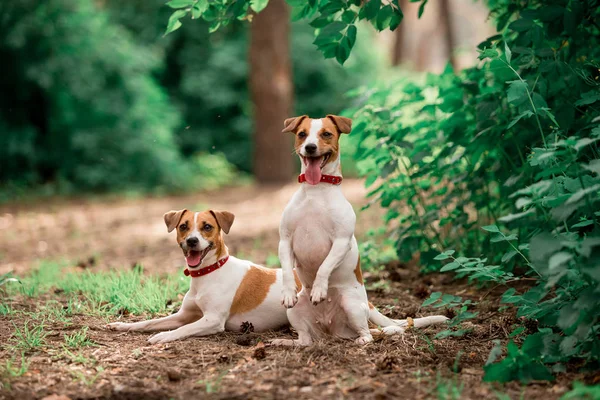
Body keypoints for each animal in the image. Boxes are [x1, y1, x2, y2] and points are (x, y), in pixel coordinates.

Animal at [108, 209, 298, 344]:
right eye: (183, 226)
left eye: (207, 227)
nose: (192, 241)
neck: (208, 272)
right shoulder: (182, 315)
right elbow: (149, 322)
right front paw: (123, 325)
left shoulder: (213, 319)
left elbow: (184, 329)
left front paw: (163, 336)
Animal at [270, 114, 446, 346]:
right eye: (302, 134)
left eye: (326, 134)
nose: (310, 147)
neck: (316, 192)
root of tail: (329, 328)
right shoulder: (285, 241)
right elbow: (288, 272)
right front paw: (288, 292)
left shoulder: (341, 241)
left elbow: (324, 267)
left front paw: (319, 289)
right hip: (296, 311)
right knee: (306, 340)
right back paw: (288, 342)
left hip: (351, 305)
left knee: (369, 333)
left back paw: (364, 339)